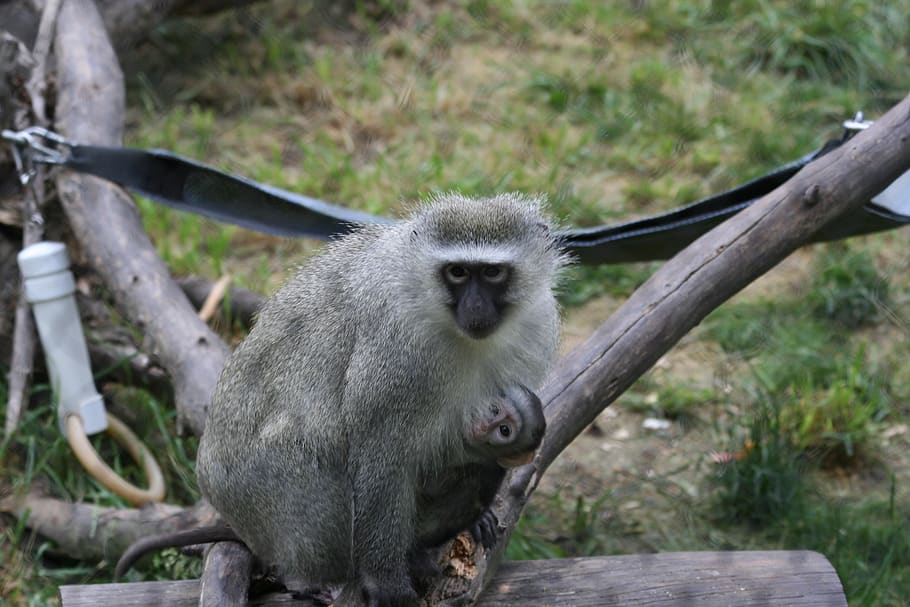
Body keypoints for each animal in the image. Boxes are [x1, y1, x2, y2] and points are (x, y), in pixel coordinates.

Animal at [194, 192, 566, 606]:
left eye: (492, 273)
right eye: (457, 273)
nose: (475, 308)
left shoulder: (537, 323)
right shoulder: (397, 351)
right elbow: (381, 454)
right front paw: (386, 582)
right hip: (255, 492)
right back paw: (312, 581)